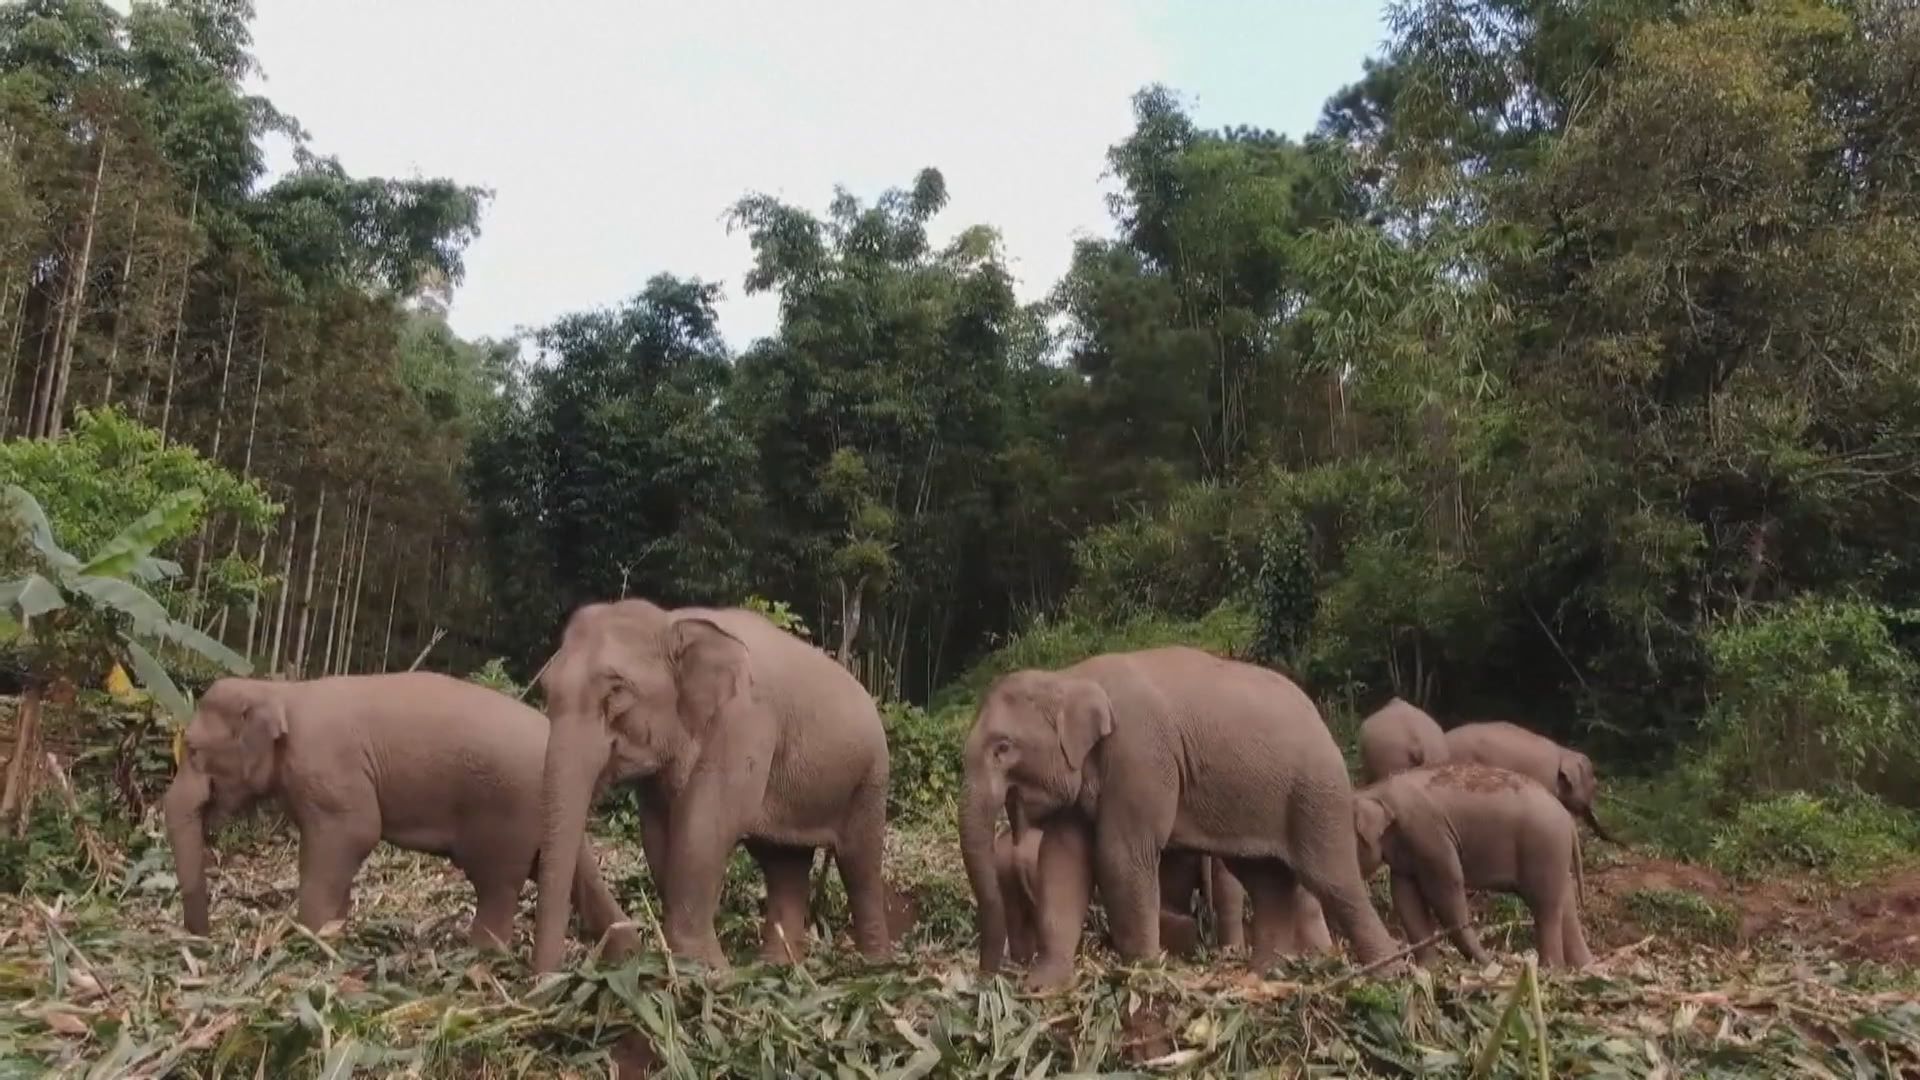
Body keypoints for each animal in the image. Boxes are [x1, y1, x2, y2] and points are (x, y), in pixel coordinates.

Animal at [159, 668, 637, 953]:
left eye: (195, 750)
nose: (203, 941)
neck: (277, 690)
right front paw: (333, 931)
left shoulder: (327, 767)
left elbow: (355, 832)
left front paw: (310, 938)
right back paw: (625, 951)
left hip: (510, 809)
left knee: (496, 882)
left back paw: (481, 956)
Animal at [526, 599, 883, 972]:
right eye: (546, 689)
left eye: (617, 691)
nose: (545, 977)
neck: (671, 622)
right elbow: (658, 833)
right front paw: (695, 966)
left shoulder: (745, 723)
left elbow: (706, 825)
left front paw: (704, 969)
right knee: (785, 863)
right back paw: (776, 968)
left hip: (870, 777)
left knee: (859, 864)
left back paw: (877, 967)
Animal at [960, 641, 1397, 991]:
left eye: (1003, 747)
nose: (986, 980)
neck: (1070, 677)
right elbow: (1061, 863)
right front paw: (1042, 987)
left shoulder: (1141, 757)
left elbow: (1121, 857)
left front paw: (1141, 975)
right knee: (1265, 880)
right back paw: (1260, 976)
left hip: (1316, 792)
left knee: (1332, 878)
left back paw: (1388, 974)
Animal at [1351, 757, 1589, 968]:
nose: (1495, 962)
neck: (1376, 791)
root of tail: (1569, 821)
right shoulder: (1406, 849)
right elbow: (1405, 898)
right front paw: (1428, 969)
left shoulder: (1429, 835)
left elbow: (1446, 886)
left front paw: (1489, 966)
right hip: (1555, 854)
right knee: (1565, 901)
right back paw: (1581, 968)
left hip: (1544, 848)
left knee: (1545, 907)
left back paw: (1550, 969)